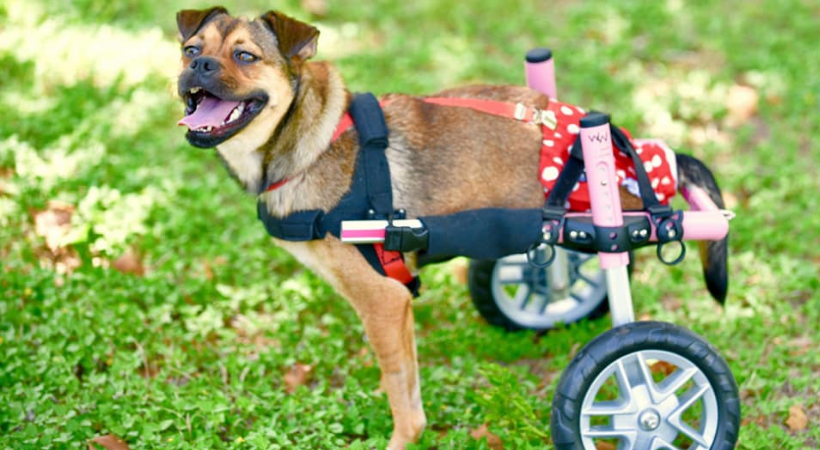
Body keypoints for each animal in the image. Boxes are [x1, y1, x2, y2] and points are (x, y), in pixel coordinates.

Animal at [175, 7, 732, 450]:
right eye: (190, 50)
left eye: (245, 57)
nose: (197, 67)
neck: (307, 140)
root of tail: (636, 152)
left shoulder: (383, 300)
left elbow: (401, 392)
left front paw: (402, 441)